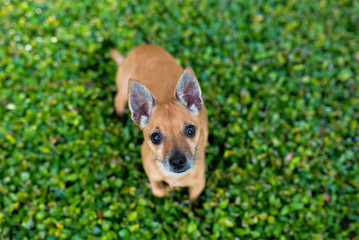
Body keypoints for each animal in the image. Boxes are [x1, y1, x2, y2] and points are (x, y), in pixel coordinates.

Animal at [111, 44, 210, 202]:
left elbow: (192, 199)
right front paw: (167, 189)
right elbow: (158, 190)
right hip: (122, 92)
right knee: (117, 100)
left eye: (191, 130)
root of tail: (141, 47)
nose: (177, 162)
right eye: (155, 138)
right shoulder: (150, 172)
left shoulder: (199, 184)